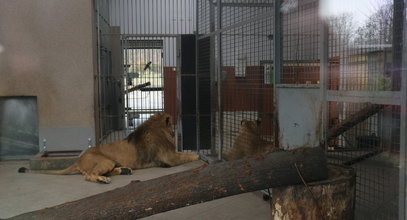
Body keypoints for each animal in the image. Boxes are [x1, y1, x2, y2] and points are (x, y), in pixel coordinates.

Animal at [19, 112, 201, 183]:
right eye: (173, 125)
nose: (176, 132)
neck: (158, 129)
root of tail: (78, 159)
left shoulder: (169, 156)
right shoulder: (169, 158)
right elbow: (187, 155)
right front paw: (199, 155)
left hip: (111, 162)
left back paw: (124, 170)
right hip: (105, 161)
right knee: (90, 175)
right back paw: (103, 180)